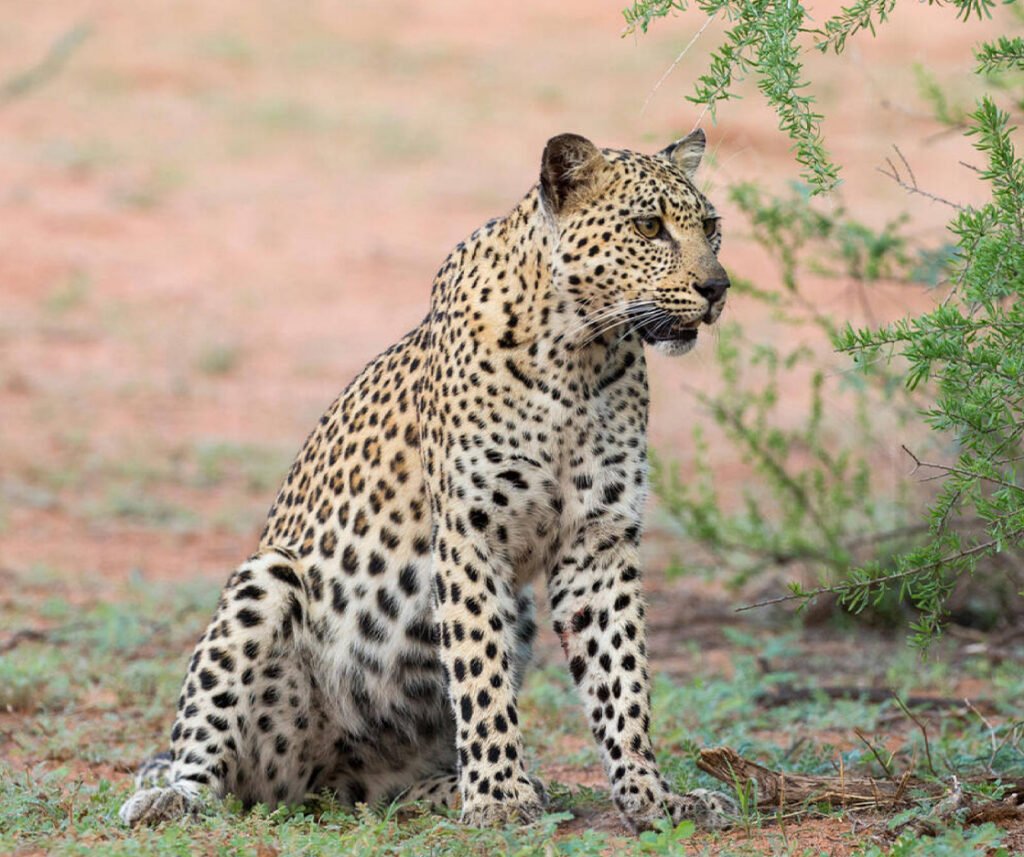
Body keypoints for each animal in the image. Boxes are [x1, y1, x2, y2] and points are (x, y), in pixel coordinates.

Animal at [118, 130, 736, 833]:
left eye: (711, 227)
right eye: (649, 227)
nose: (717, 287)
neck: (582, 355)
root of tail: (324, 777)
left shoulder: (599, 541)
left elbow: (621, 676)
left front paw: (653, 797)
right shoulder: (471, 535)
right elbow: (480, 669)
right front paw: (499, 797)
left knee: (376, 790)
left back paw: (454, 788)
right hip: (265, 579)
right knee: (210, 762)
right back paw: (171, 797)